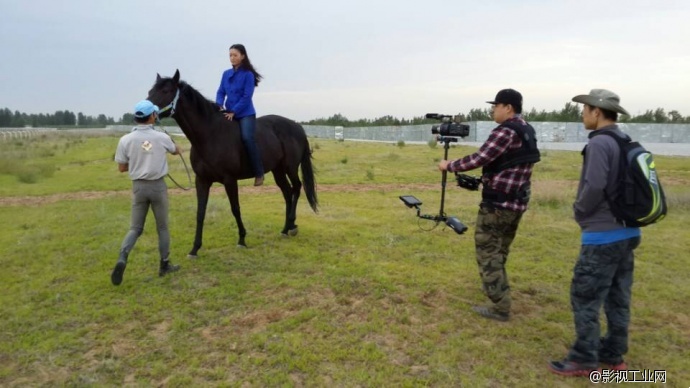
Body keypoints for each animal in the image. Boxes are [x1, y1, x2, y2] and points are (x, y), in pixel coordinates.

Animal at [147, 70, 318, 258]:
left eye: (166, 91)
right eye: (150, 91)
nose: (140, 114)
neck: (210, 134)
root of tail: (297, 126)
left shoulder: (230, 180)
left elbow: (235, 208)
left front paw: (242, 240)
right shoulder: (202, 180)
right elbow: (200, 212)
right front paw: (195, 248)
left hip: (290, 167)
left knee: (297, 188)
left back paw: (292, 226)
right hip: (277, 170)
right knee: (287, 192)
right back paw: (286, 228)